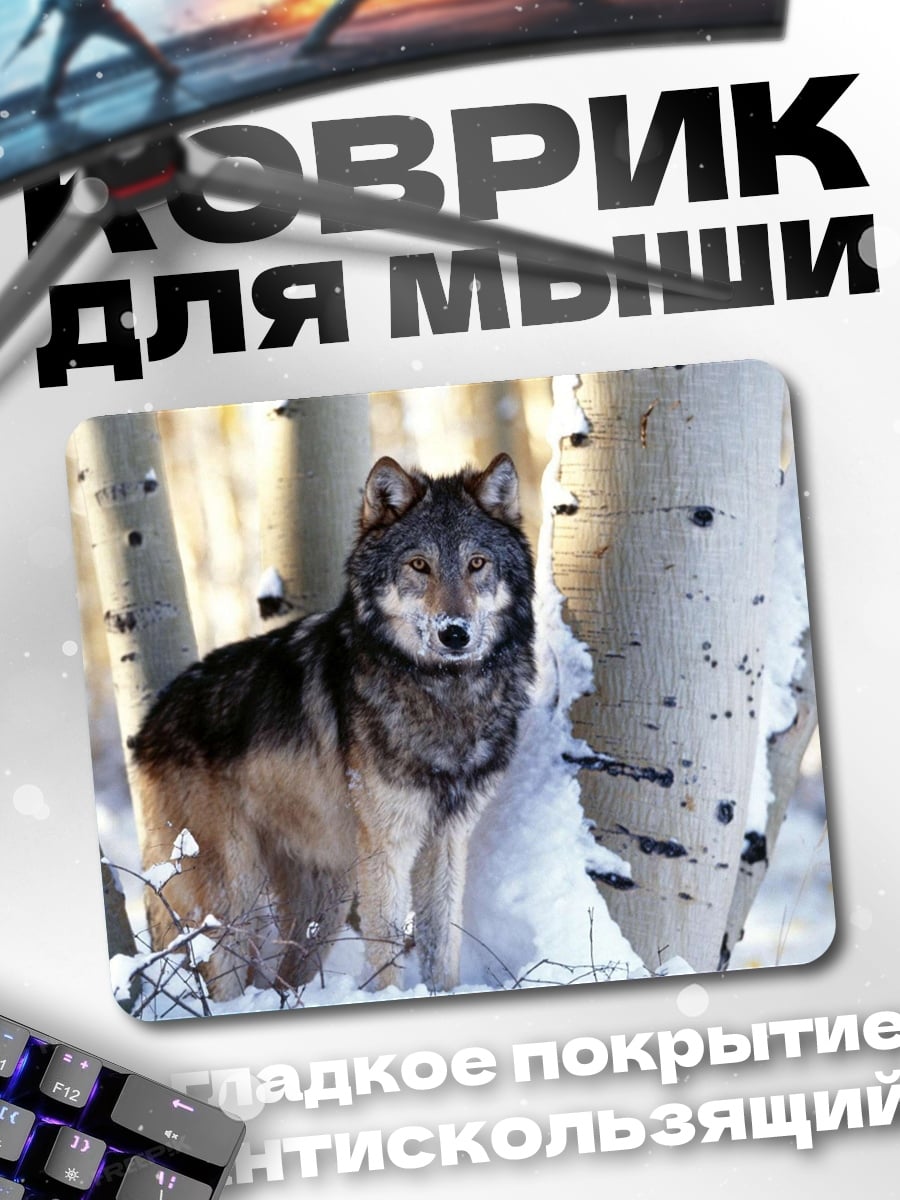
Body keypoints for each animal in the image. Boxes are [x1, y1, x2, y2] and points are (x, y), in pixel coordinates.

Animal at [132, 453, 536, 1001]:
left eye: (477, 563)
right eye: (419, 565)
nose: (455, 633)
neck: (444, 694)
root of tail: (148, 725)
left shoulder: (448, 841)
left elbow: (442, 948)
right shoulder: (387, 847)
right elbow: (385, 950)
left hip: (324, 898)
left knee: (283, 978)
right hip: (236, 896)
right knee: (221, 977)